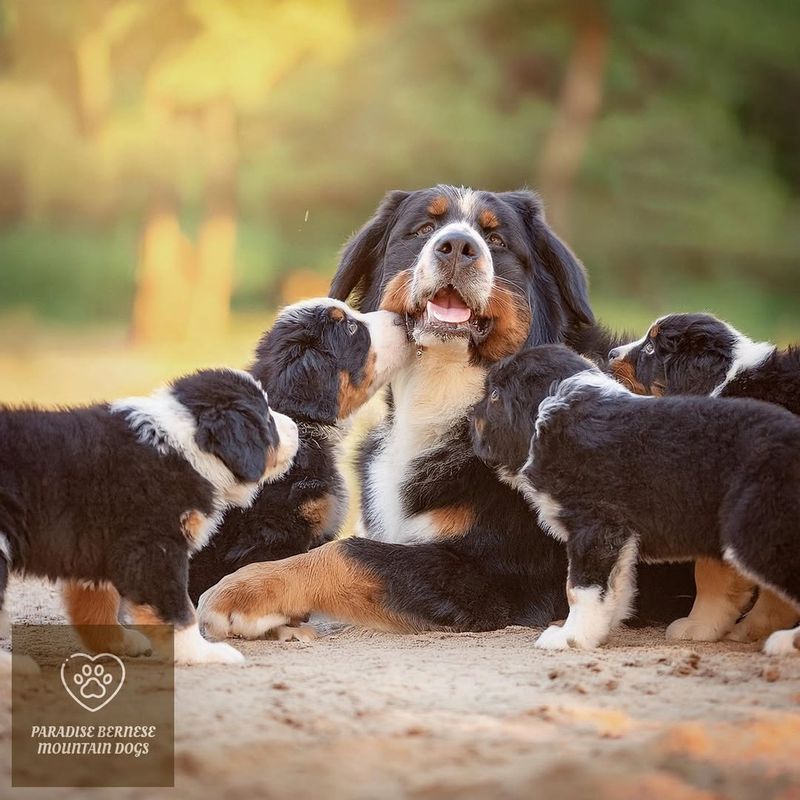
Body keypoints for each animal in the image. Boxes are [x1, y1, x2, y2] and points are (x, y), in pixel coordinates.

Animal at [0, 370, 296, 668]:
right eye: (267, 418)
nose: (297, 428)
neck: (184, 447)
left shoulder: (98, 543)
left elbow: (97, 602)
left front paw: (118, 643)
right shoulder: (154, 547)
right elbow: (179, 610)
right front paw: (200, 652)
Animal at [468, 346, 800, 652]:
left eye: (494, 396)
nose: (469, 417)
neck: (555, 415)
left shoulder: (595, 526)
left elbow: (579, 589)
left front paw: (570, 637)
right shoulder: (620, 536)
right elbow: (616, 586)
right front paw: (599, 630)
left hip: (756, 530)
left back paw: (785, 643)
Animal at [608, 310, 800, 644]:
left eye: (651, 349)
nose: (610, 354)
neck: (722, 384)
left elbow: (709, 573)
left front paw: (698, 625)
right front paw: (754, 628)